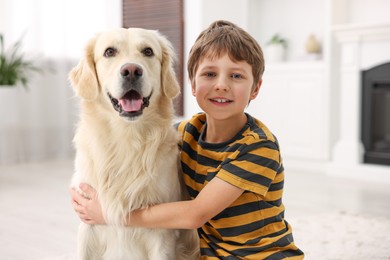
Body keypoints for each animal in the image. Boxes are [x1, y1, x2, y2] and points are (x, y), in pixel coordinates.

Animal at [68, 27, 198, 260]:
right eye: (109, 52)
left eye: (148, 51)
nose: (131, 71)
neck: (126, 138)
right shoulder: (88, 225)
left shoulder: (162, 233)